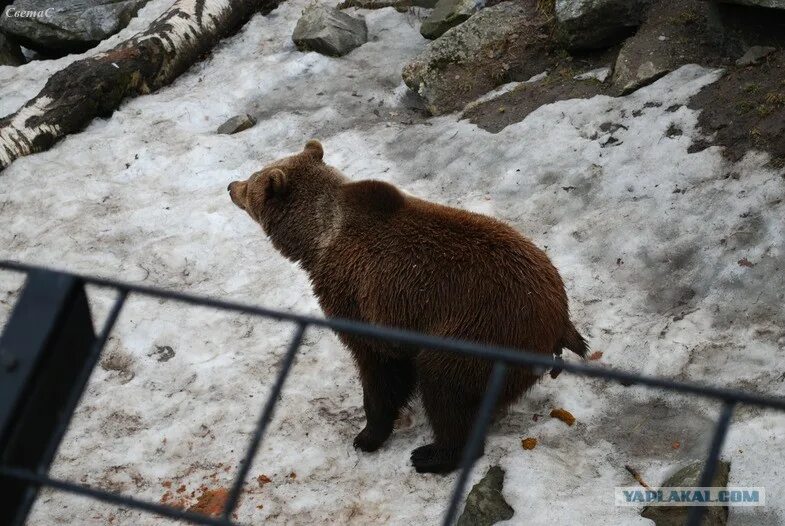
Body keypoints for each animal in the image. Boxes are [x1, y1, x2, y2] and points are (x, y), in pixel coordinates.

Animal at [227, 139, 588, 474]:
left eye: (253, 180)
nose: (231, 185)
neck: (319, 240)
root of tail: (559, 317)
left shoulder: (360, 300)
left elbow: (380, 371)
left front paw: (367, 435)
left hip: (482, 331)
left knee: (447, 387)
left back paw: (432, 455)